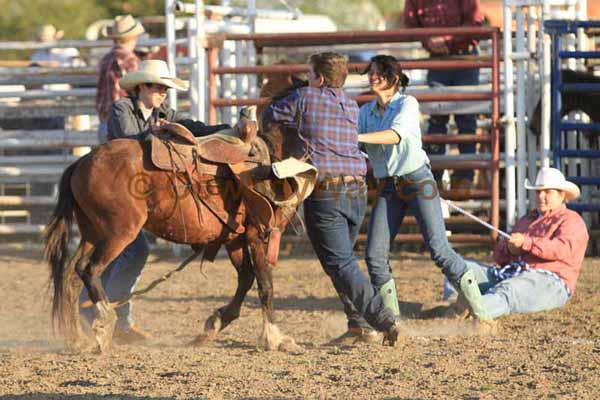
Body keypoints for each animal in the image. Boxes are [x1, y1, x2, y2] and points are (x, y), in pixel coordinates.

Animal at [45, 92, 310, 352]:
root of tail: (81, 162)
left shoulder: (235, 237)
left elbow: (246, 278)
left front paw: (214, 324)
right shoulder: (256, 233)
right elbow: (265, 282)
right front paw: (275, 338)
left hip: (92, 232)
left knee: (71, 274)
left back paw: (78, 338)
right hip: (118, 233)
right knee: (89, 270)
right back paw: (104, 323)